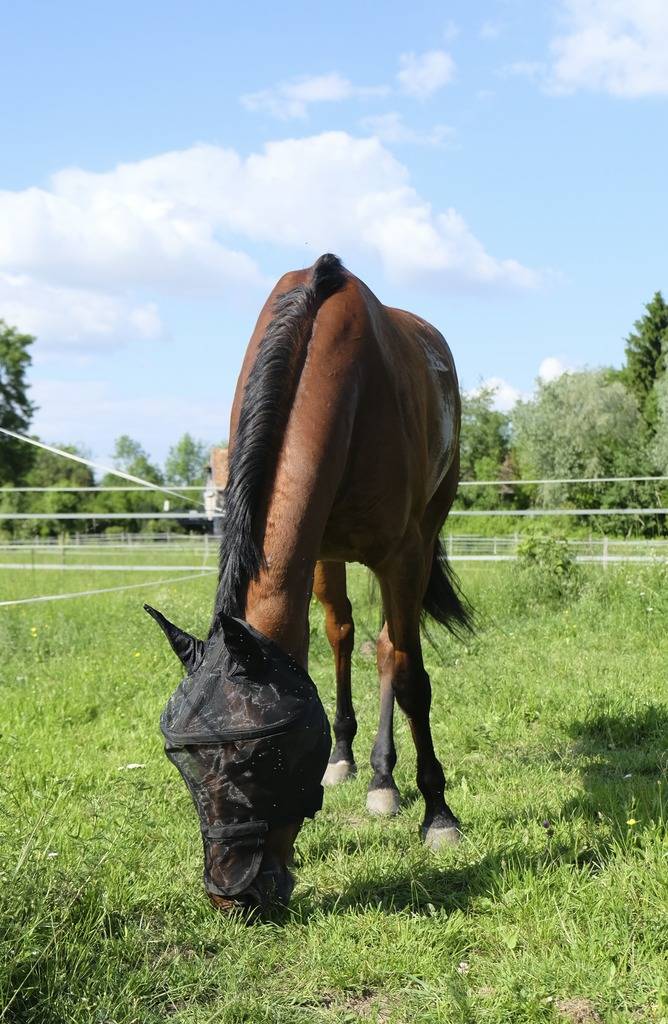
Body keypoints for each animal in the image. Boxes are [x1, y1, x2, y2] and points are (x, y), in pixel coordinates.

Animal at [149, 256, 469, 913]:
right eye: (183, 764)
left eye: (260, 758)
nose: (232, 895)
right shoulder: (313, 550)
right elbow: (334, 641)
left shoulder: (403, 555)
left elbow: (412, 679)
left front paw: (439, 815)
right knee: (346, 635)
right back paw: (357, 763)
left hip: (423, 534)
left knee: (390, 652)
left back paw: (386, 778)